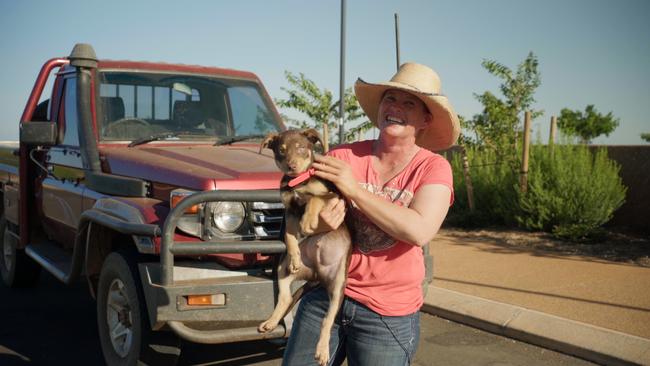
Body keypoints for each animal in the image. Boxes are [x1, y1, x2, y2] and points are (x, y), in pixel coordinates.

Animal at [256, 129, 350, 366]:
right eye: (281, 151)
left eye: (300, 147)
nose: (291, 166)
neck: (298, 183)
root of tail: (318, 275)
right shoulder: (289, 212)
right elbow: (289, 238)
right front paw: (295, 255)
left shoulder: (332, 196)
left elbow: (314, 199)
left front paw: (308, 221)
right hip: (282, 269)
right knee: (286, 297)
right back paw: (271, 322)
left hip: (338, 286)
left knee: (327, 320)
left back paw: (323, 350)